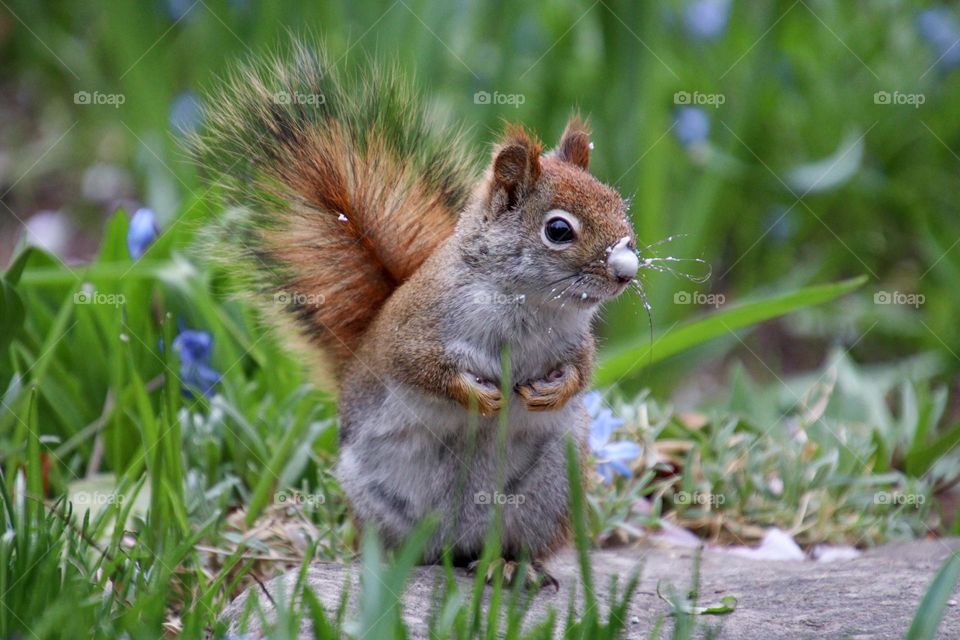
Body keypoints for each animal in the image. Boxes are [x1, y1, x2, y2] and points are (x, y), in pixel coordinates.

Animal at [194, 42, 636, 588]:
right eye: (558, 230)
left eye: (619, 206)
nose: (626, 271)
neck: (529, 305)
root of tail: (457, 545)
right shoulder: (414, 330)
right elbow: (419, 367)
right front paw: (479, 396)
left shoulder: (576, 341)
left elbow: (581, 370)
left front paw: (553, 391)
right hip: (376, 494)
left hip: (549, 490)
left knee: (513, 542)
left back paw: (511, 566)